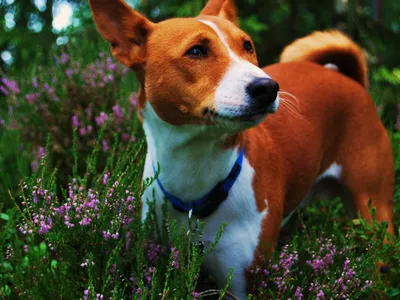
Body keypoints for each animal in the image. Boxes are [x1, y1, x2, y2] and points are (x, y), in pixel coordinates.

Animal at [88, 0, 394, 296]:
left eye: (247, 45)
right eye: (196, 51)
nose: (267, 87)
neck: (196, 175)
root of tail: (348, 79)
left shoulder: (244, 282)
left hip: (375, 216)